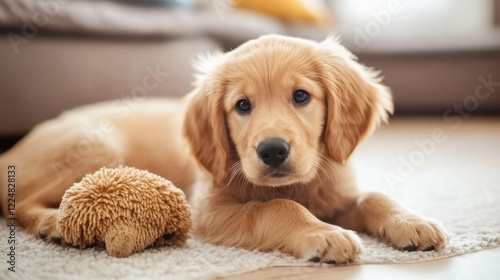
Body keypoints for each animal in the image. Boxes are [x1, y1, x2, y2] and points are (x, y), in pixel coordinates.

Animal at [0, 35, 446, 262]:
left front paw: (412, 222)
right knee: (18, 201)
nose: (272, 151)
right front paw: (322, 233)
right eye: (242, 106)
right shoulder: (209, 212)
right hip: (99, 145)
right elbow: (275, 207)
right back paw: (54, 223)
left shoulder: (337, 190)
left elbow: (374, 196)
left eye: (301, 96)